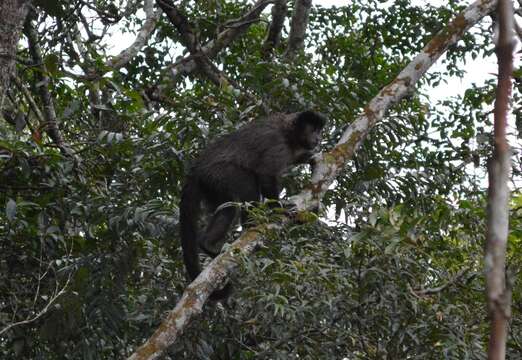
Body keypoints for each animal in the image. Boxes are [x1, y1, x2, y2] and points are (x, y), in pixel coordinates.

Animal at [179, 111, 324, 300]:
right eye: (313, 130)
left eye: (319, 131)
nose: (319, 138)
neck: (289, 134)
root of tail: (197, 169)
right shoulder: (277, 142)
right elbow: (265, 173)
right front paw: (279, 207)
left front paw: (310, 156)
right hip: (217, 174)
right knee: (246, 186)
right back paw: (235, 232)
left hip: (209, 185)